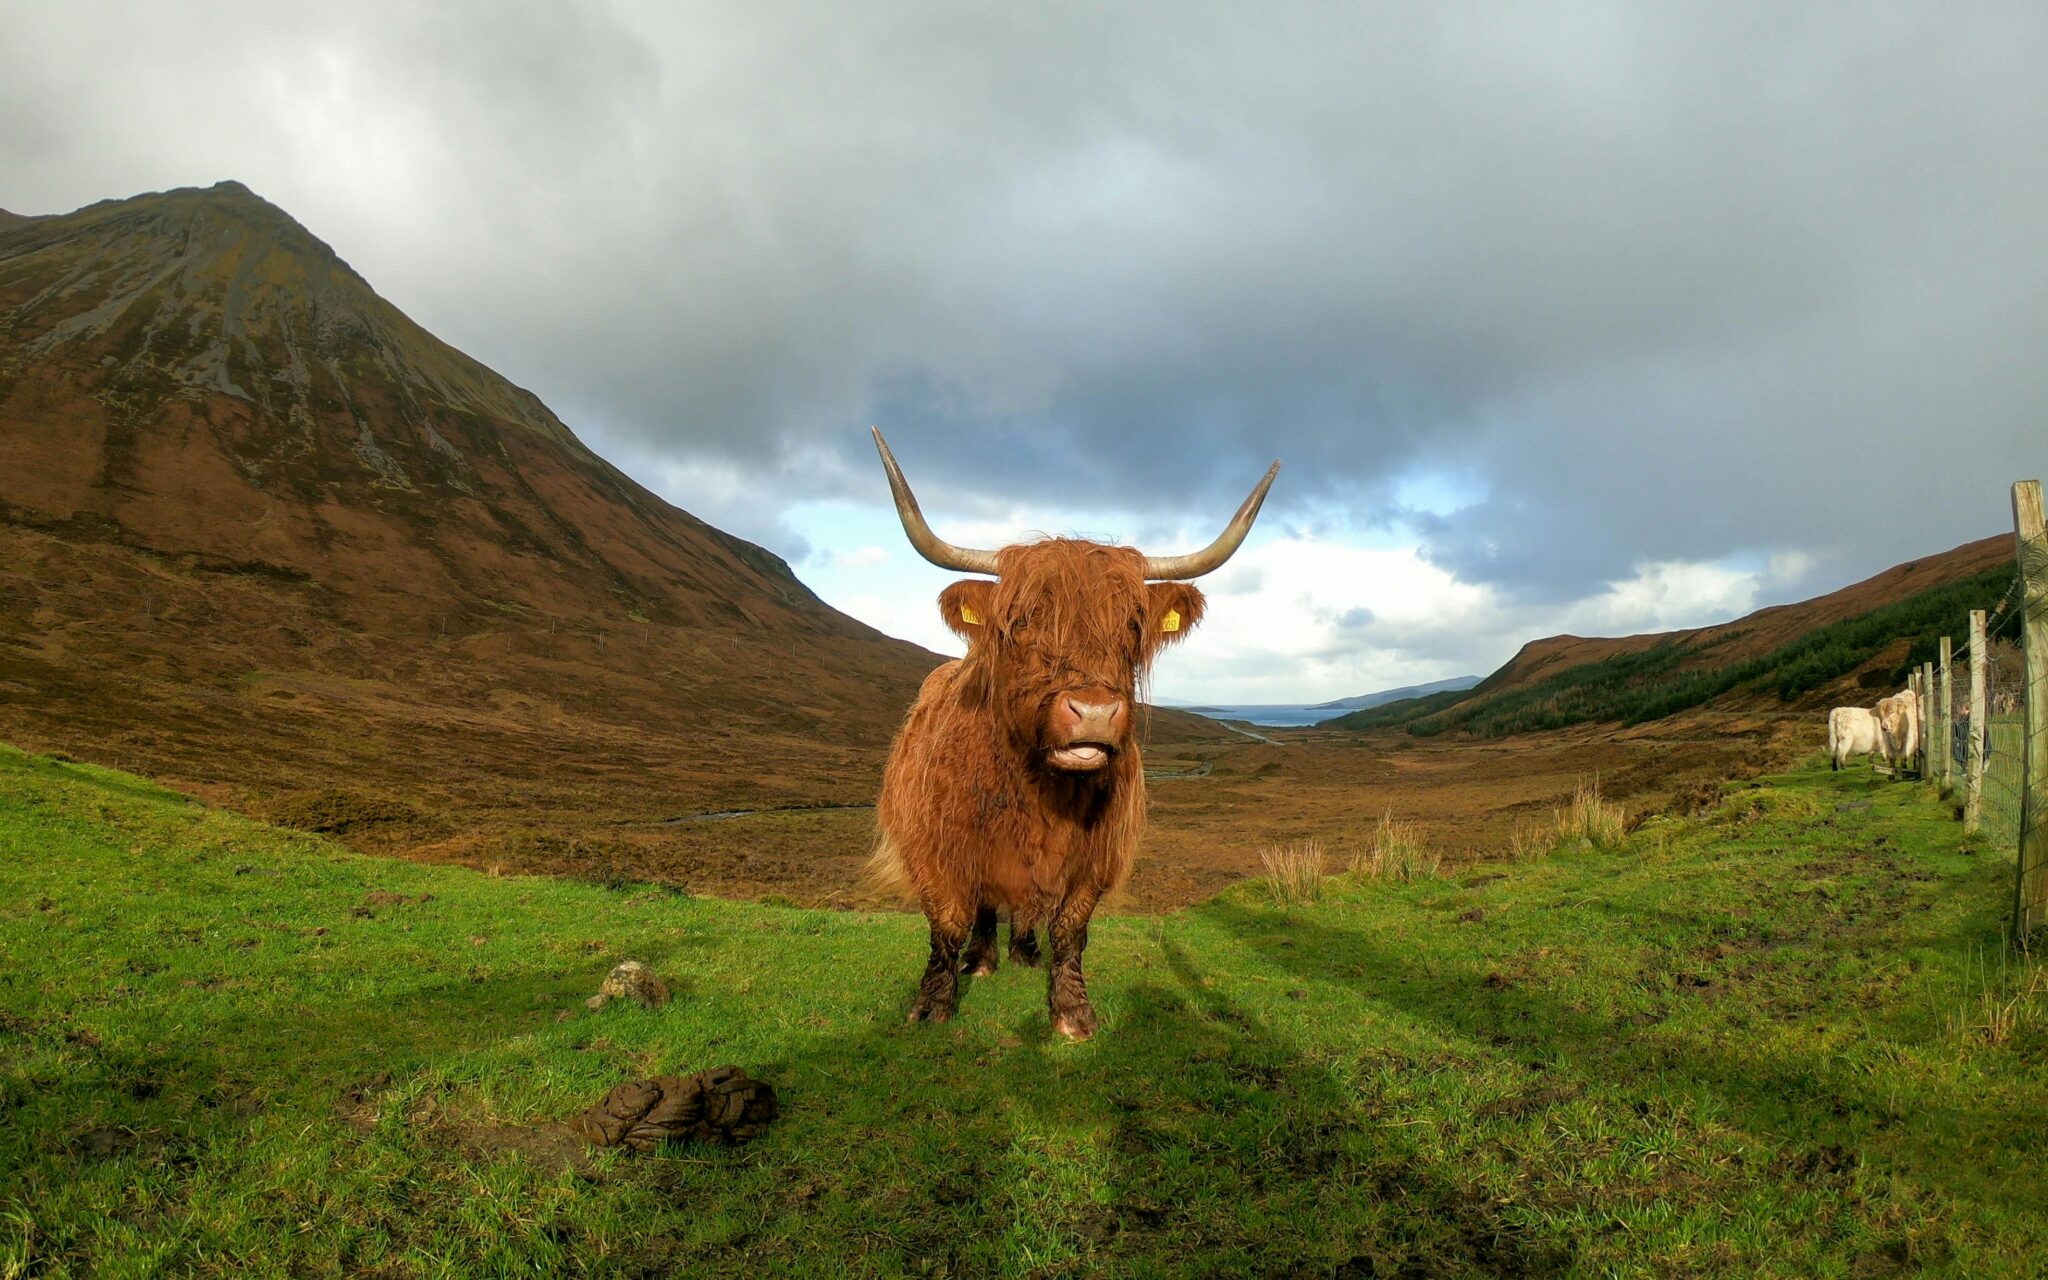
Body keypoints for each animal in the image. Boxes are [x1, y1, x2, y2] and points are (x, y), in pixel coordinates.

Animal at [867, 428, 1278, 1041]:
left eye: (1133, 624)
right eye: (1021, 621)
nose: (1095, 712)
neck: (1038, 790)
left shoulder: (1099, 854)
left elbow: (1071, 926)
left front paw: (1072, 1011)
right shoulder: (930, 845)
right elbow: (947, 922)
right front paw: (933, 1003)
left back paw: (1022, 951)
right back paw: (983, 960)